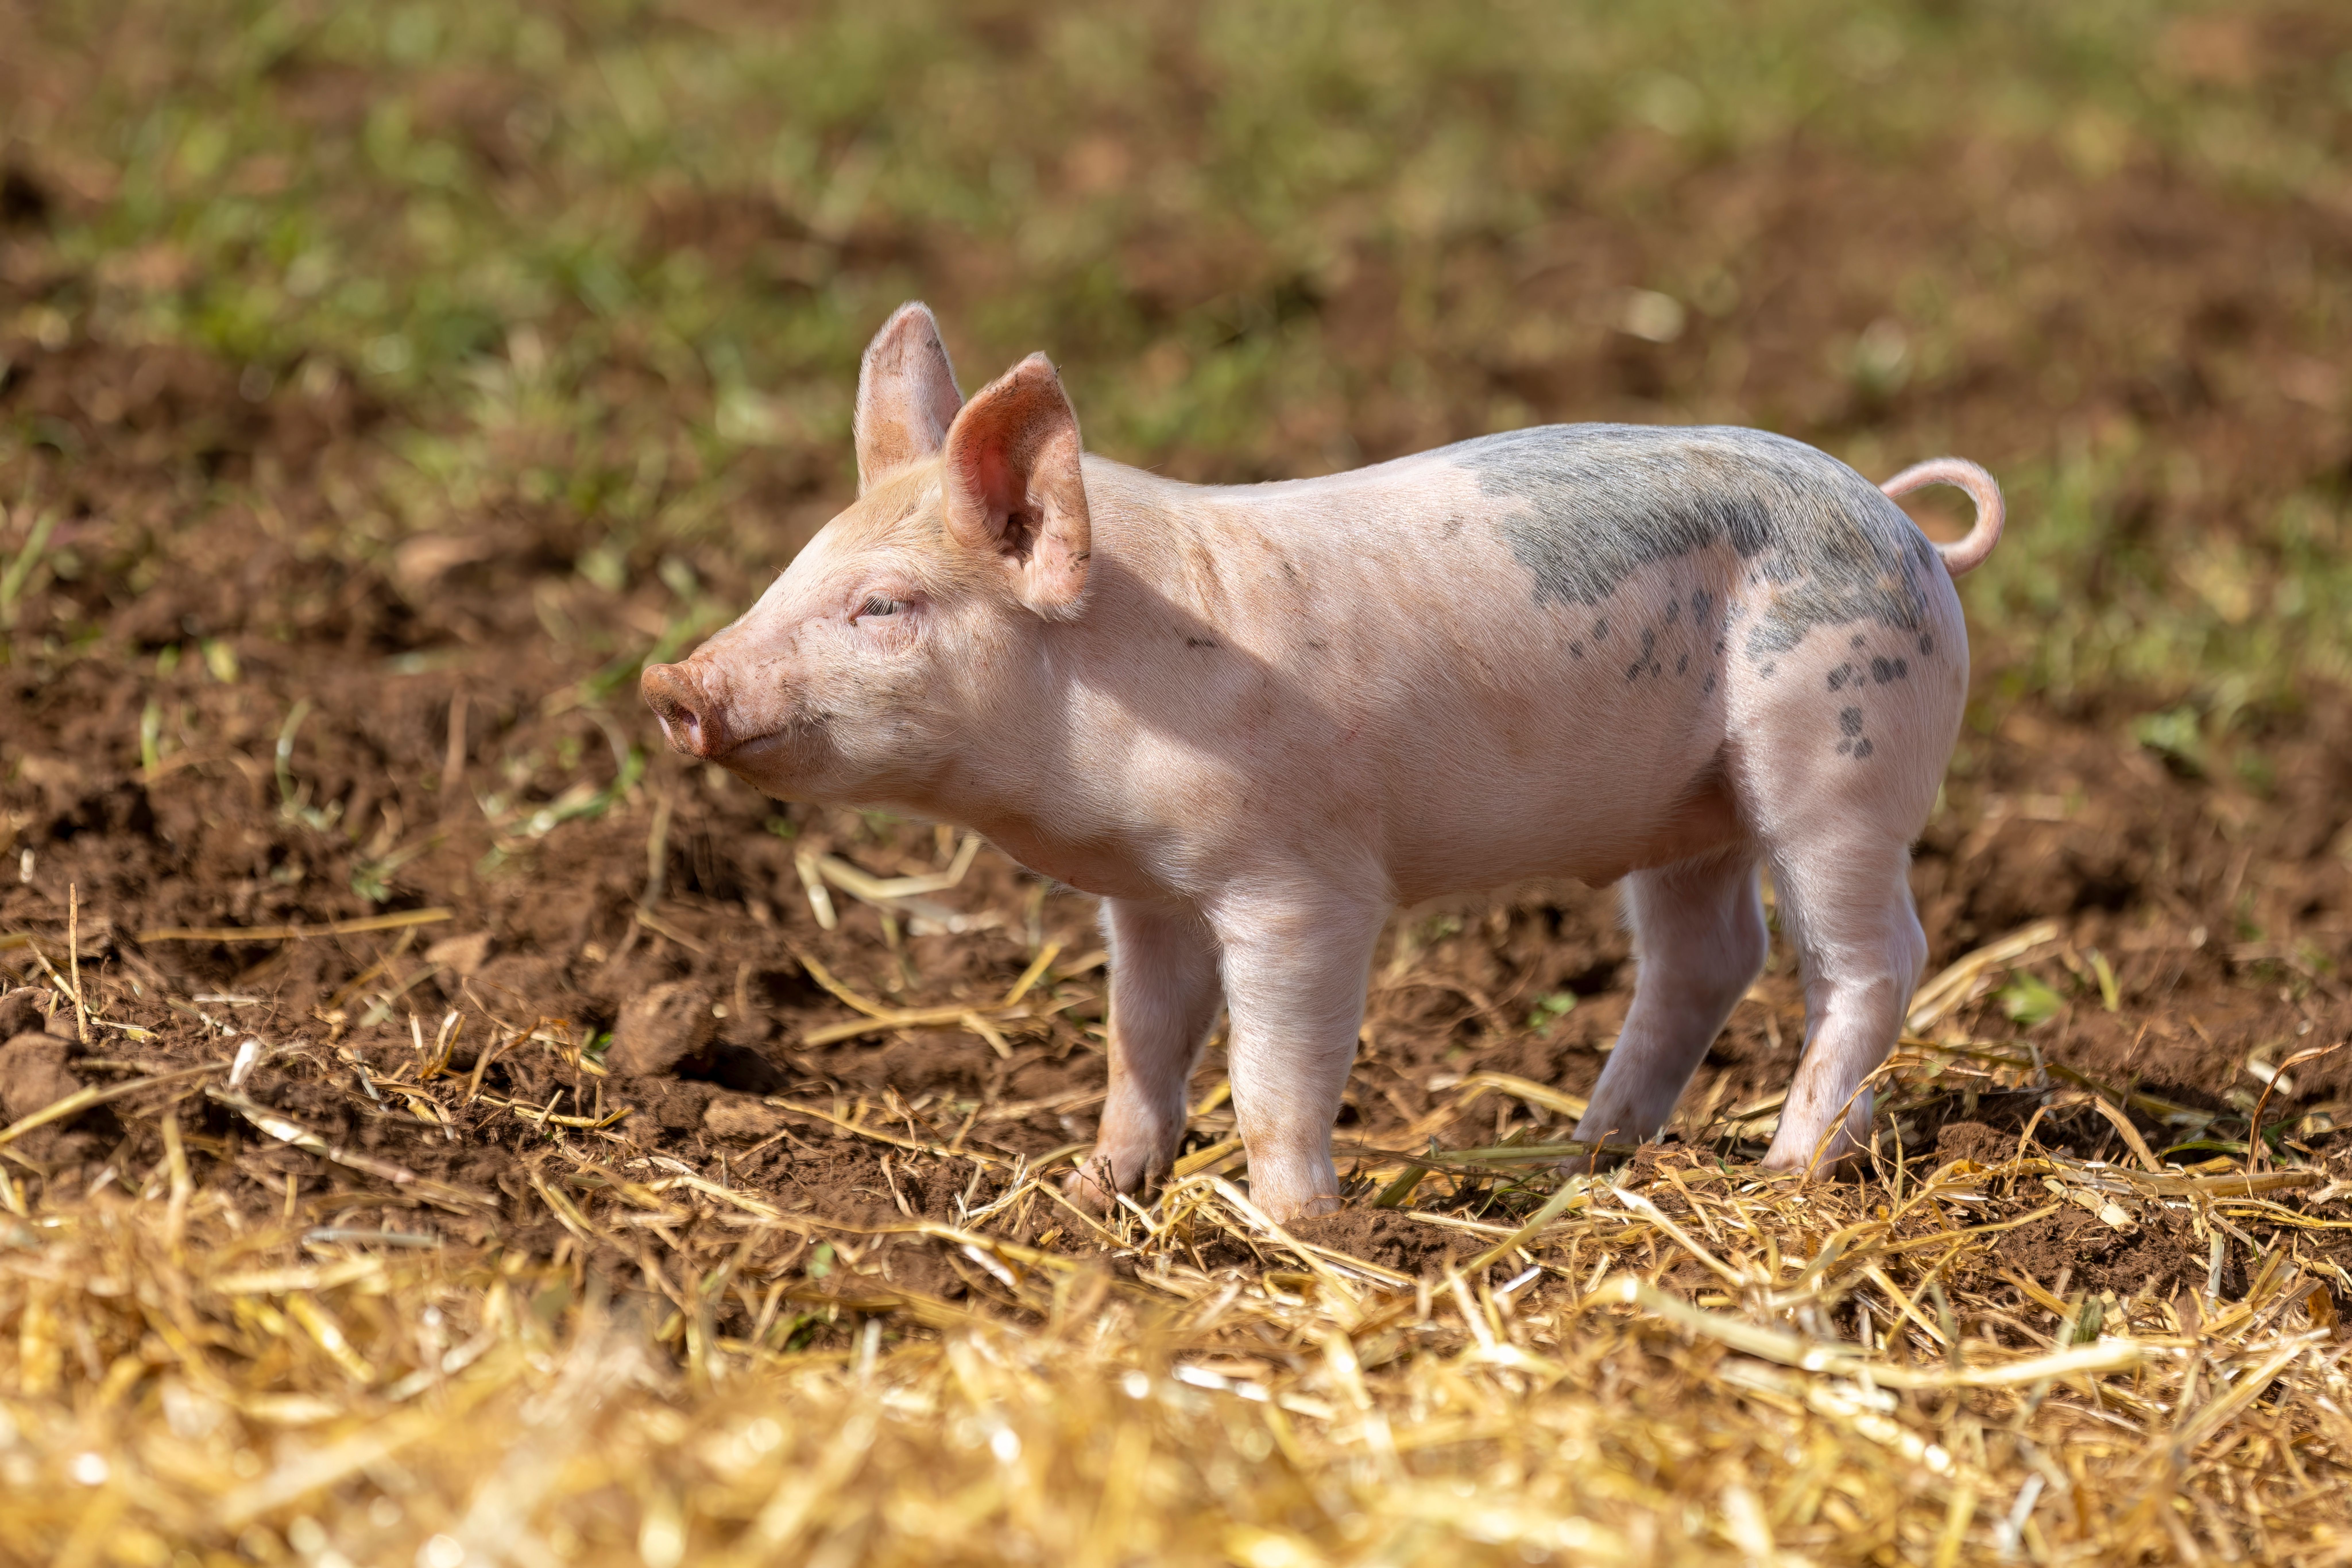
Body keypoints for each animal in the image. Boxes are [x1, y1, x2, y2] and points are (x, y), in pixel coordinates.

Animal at [642, 302, 2004, 1222]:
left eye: (883, 605)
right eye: (795, 565)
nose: (670, 684)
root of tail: (1901, 519)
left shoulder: (1301, 886)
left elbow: (1269, 1073)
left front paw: (1301, 1227)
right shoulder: (1148, 898)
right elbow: (1140, 1043)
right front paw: (1092, 1193)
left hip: (1837, 768)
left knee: (1873, 959)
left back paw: (1782, 1171)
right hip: (1691, 814)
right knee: (1709, 956)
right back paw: (1582, 1159)